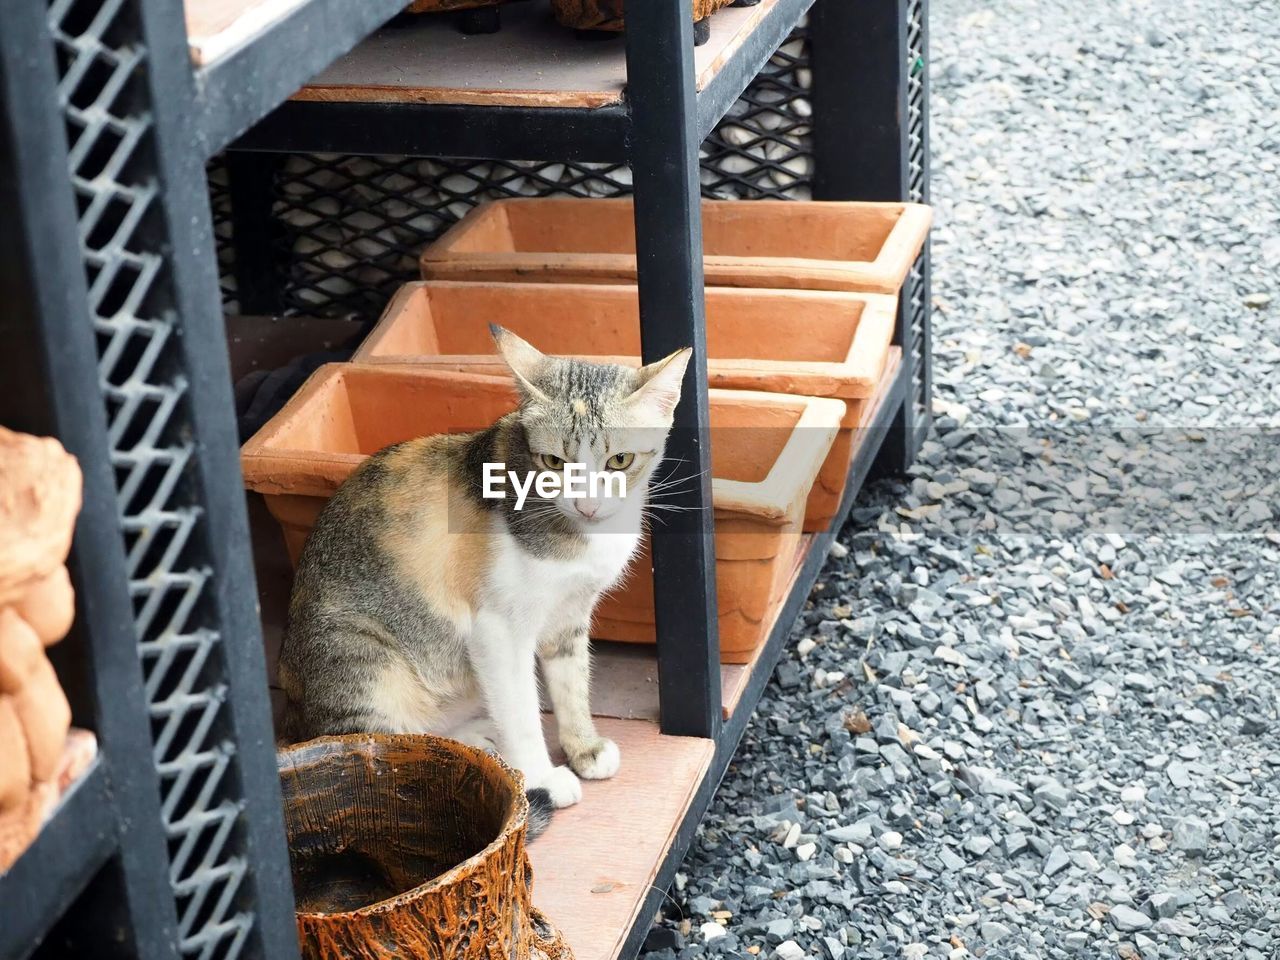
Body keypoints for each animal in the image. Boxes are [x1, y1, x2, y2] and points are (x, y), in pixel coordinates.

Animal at [273, 323, 686, 834]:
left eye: (620, 460)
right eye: (553, 462)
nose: (586, 504)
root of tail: (292, 718)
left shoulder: (570, 615)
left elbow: (573, 683)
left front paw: (583, 749)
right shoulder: (498, 631)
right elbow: (522, 709)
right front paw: (543, 778)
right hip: (362, 657)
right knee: (385, 747)